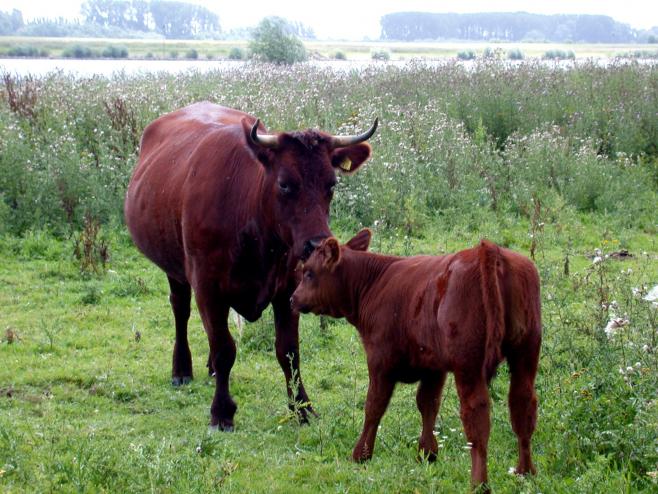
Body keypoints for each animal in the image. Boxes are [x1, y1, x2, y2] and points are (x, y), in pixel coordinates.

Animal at [124, 102, 377, 430]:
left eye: (331, 185)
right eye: (284, 184)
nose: (317, 244)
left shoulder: (288, 288)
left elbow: (288, 351)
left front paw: (302, 407)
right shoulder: (207, 286)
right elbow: (224, 348)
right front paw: (222, 412)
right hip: (174, 267)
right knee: (180, 309)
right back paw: (181, 369)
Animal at [291, 229, 541, 491]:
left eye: (309, 272)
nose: (292, 298)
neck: (374, 283)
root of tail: (488, 249)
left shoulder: (380, 360)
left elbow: (374, 406)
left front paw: (362, 454)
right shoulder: (433, 367)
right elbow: (428, 404)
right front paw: (427, 453)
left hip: (468, 364)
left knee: (476, 416)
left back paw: (479, 483)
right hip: (526, 353)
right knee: (523, 406)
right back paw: (525, 472)